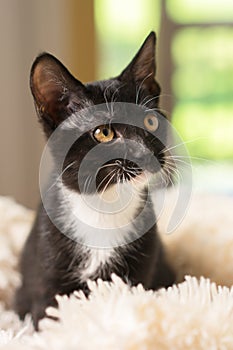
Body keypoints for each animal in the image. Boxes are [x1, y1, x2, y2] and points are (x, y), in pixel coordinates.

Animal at [14, 31, 175, 330]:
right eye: (103, 133)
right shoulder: (47, 274)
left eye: (150, 121)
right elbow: (50, 318)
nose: (143, 153)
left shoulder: (141, 269)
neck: (105, 204)